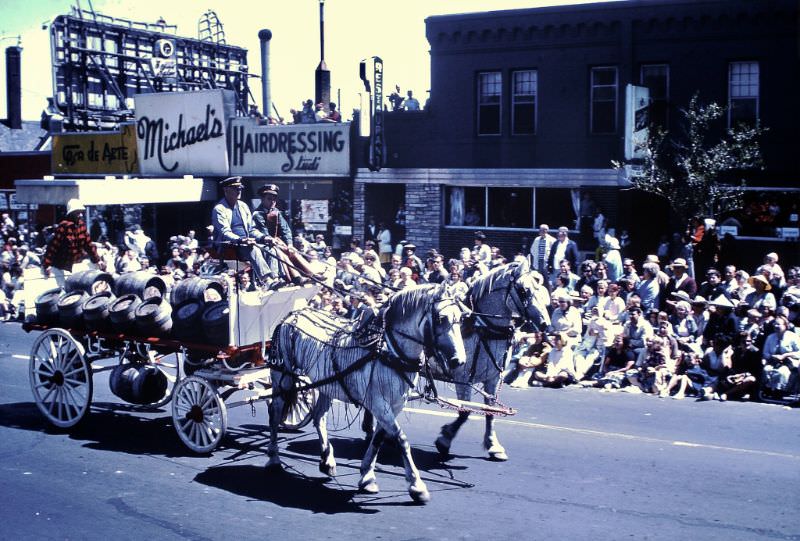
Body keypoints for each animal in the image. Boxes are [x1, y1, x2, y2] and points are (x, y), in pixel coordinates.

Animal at [268, 282, 468, 502]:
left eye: (461, 318)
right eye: (441, 318)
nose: (459, 361)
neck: (390, 353)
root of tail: (290, 316)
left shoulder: (393, 406)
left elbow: (379, 439)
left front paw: (367, 477)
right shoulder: (379, 404)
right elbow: (401, 439)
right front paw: (417, 485)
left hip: (327, 385)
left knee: (319, 417)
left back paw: (327, 460)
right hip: (283, 377)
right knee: (275, 412)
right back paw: (274, 458)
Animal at [432, 260, 552, 458]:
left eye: (538, 287)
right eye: (524, 290)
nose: (545, 324)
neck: (482, 328)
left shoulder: (493, 378)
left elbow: (490, 411)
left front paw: (493, 445)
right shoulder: (463, 378)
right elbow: (464, 412)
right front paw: (444, 438)